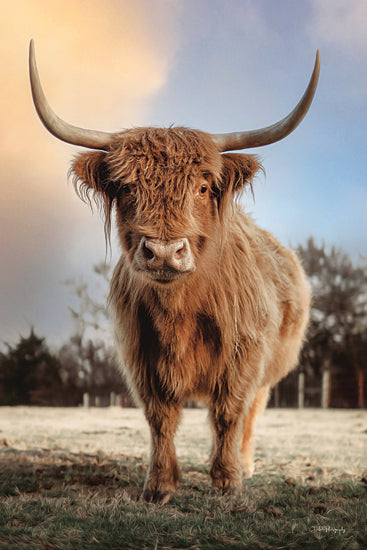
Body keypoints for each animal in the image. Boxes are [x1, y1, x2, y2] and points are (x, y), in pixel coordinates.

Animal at [29, 41, 320, 502]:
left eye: (203, 187)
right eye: (127, 187)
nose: (164, 252)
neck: (180, 312)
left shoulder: (243, 356)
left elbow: (228, 413)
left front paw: (228, 481)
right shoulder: (141, 356)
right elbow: (160, 418)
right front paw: (159, 485)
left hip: (272, 367)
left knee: (252, 410)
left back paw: (246, 463)